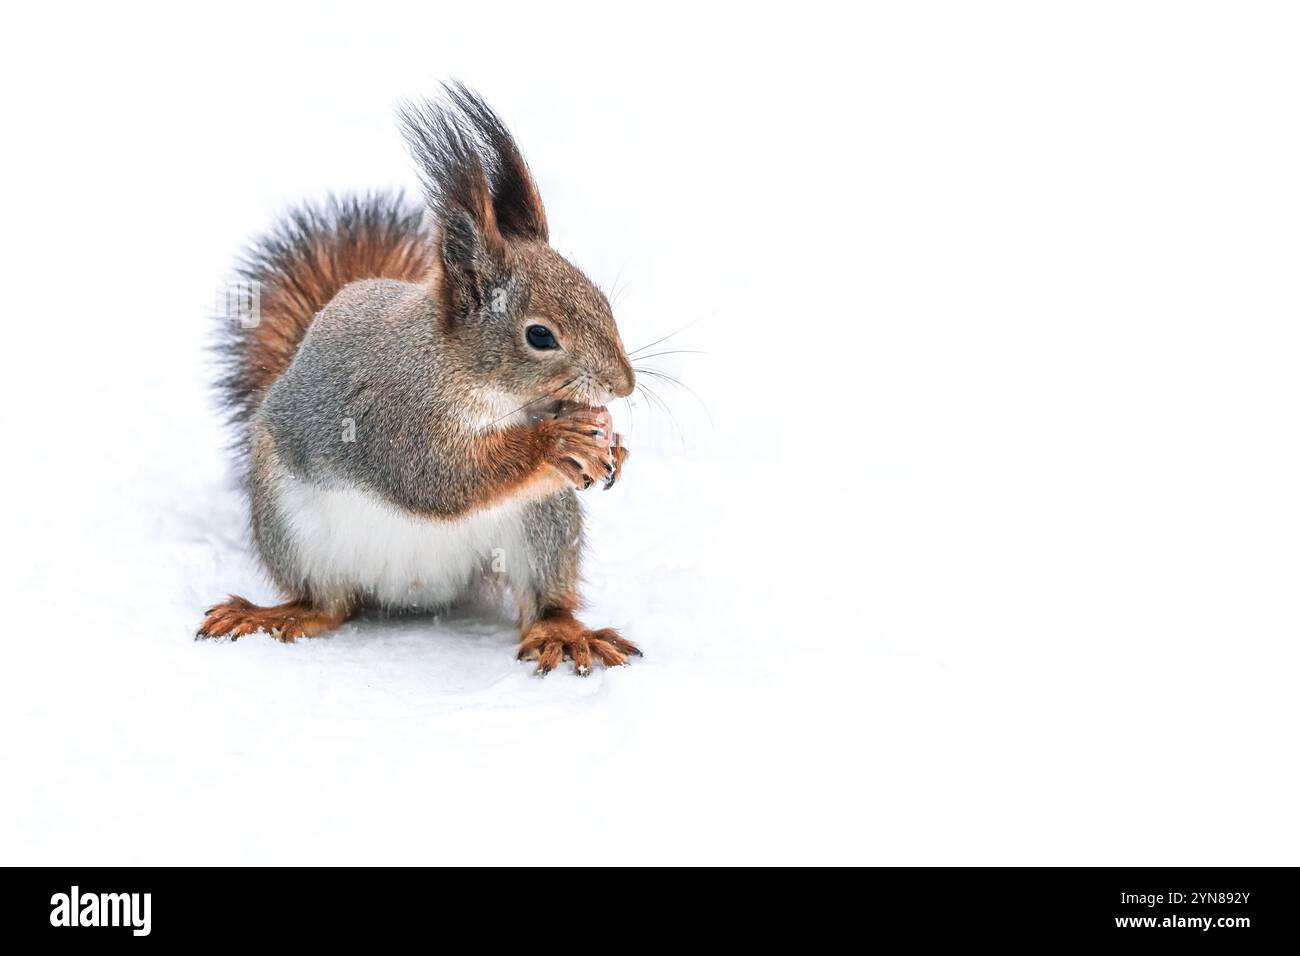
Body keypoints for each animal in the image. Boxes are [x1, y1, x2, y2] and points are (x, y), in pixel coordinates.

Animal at [197, 84, 641, 675]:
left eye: (600, 299)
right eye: (540, 336)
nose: (624, 385)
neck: (479, 381)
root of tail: (417, 589)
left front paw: (612, 442)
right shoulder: (392, 414)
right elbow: (438, 479)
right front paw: (555, 442)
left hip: (543, 522)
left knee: (544, 600)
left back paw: (563, 633)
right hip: (291, 529)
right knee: (328, 605)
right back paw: (278, 614)